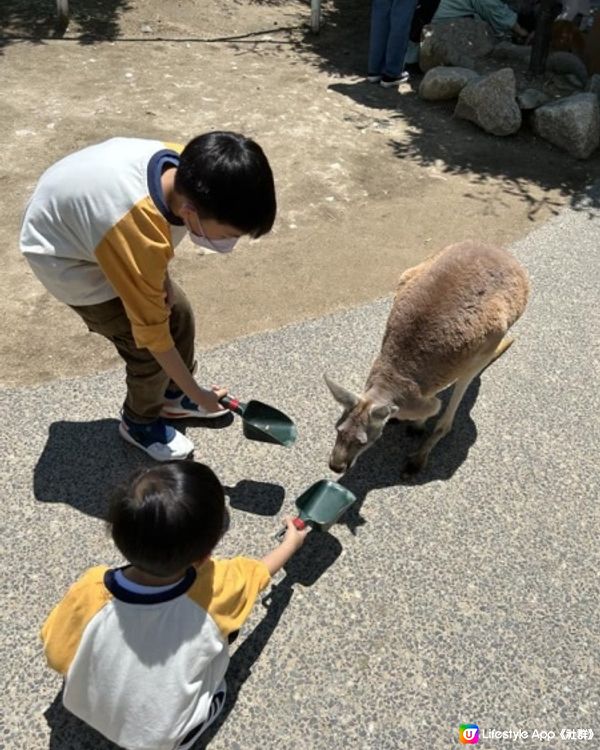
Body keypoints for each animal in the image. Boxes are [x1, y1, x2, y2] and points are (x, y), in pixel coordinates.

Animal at [326, 241, 528, 476]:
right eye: (337, 430)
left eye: (362, 442)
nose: (335, 466)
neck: (389, 383)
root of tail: (501, 253)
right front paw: (402, 420)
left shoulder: (413, 400)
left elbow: (433, 407)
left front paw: (417, 426)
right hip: (410, 274)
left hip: (493, 335)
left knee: (457, 396)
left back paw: (420, 454)